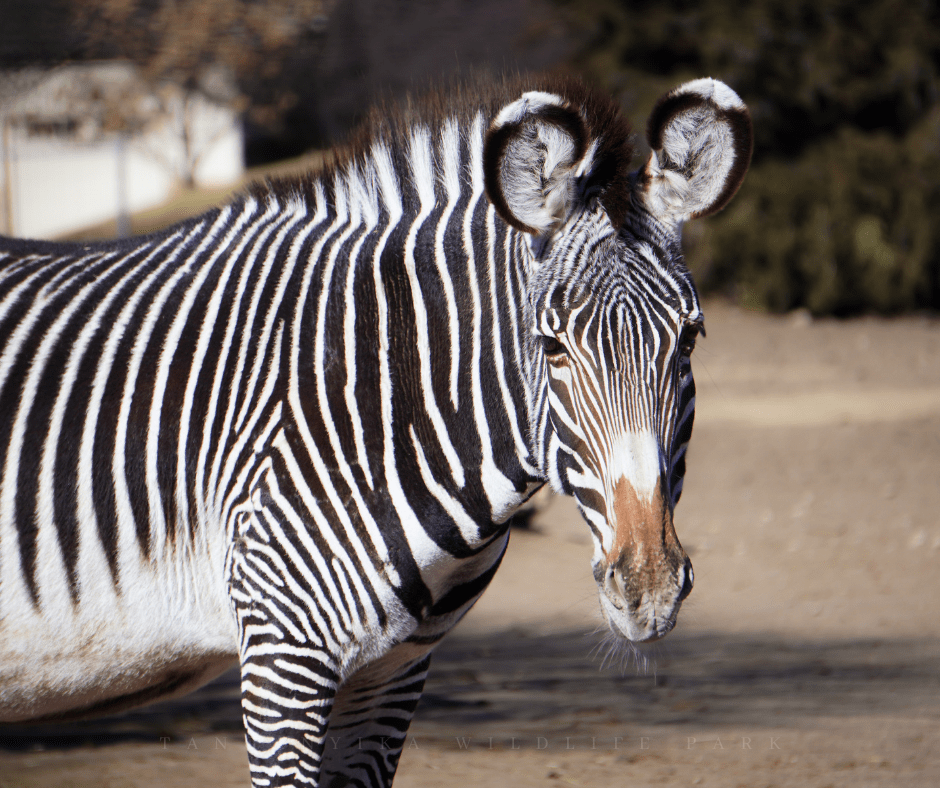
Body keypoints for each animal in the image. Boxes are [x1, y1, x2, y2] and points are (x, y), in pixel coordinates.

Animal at [0, 75, 751, 786]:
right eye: (552, 346)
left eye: (689, 339)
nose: (648, 587)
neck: (381, 399)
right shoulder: (281, 653)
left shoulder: (392, 671)